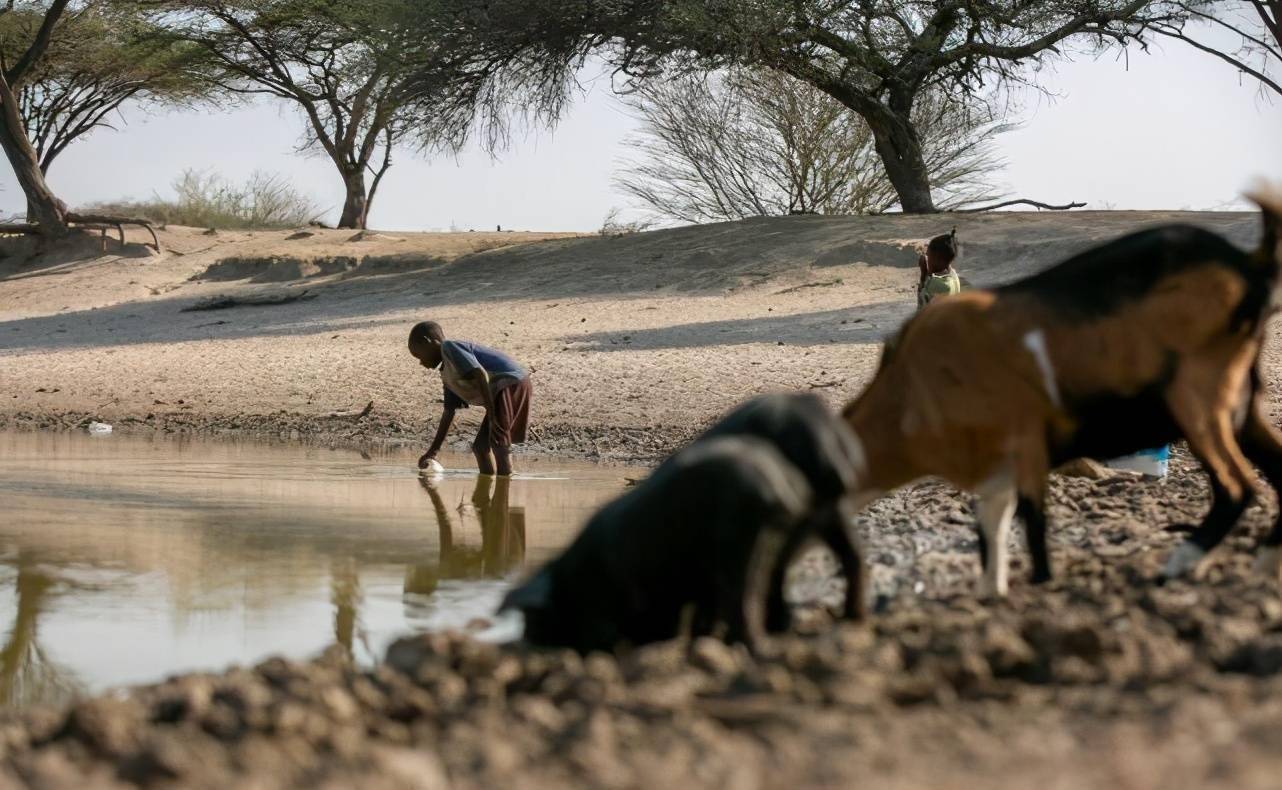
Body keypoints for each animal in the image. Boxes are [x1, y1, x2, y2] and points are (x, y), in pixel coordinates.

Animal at [840, 191, 1282, 595]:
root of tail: (1246, 264)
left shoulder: (1025, 443)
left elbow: (1034, 525)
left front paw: (1038, 587)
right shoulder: (997, 471)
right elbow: (992, 530)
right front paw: (991, 593)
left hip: (1197, 397)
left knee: (1236, 486)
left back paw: (1180, 563)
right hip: (1241, 401)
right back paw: (1262, 565)